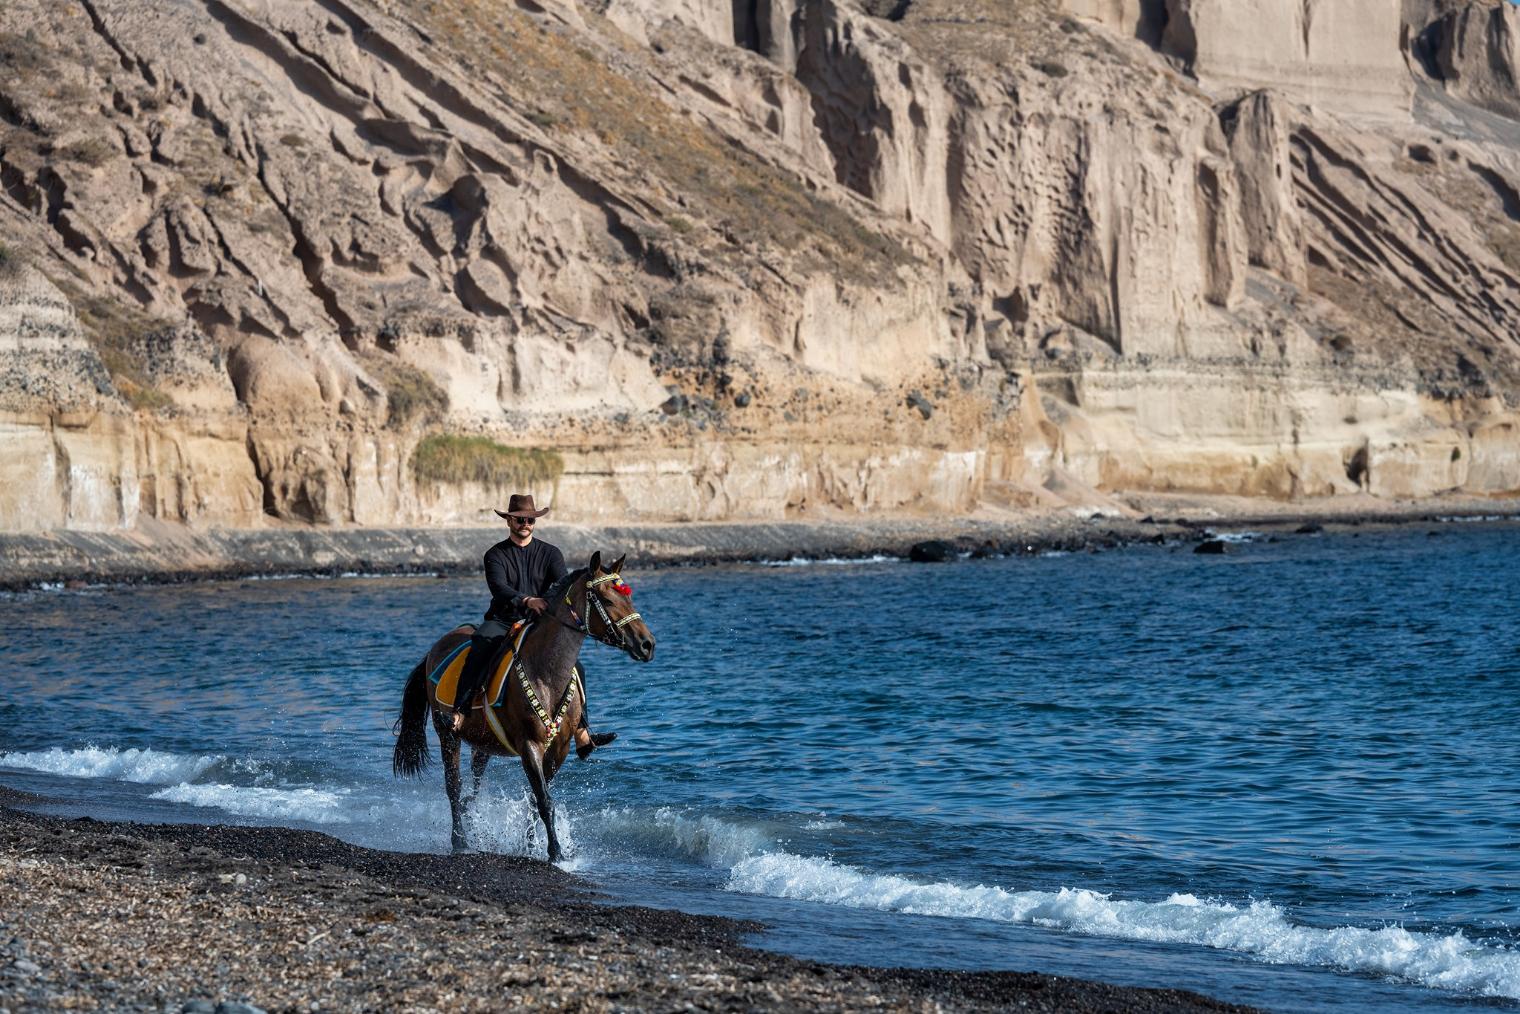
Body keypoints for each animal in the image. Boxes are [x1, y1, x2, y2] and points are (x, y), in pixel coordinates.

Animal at [391, 551, 654, 860]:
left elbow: (535, 800)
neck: (546, 671)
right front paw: (556, 853)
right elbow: (544, 800)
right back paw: (460, 841)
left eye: (629, 599)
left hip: (483, 742)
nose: (647, 644)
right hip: (448, 735)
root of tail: (436, 648)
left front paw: (529, 847)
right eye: (608, 600)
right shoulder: (530, 746)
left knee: (473, 784)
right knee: (453, 786)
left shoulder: (559, 749)